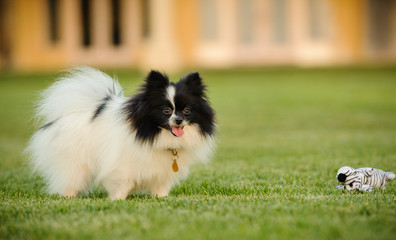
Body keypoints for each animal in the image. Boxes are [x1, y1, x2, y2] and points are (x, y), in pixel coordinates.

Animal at [26, 66, 215, 200]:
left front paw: (160, 198)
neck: (152, 133)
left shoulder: (162, 172)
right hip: (76, 163)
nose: (178, 120)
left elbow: (160, 187)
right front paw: (117, 200)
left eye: (187, 110)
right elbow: (123, 183)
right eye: (166, 111)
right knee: (71, 179)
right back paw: (68, 196)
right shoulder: (121, 165)